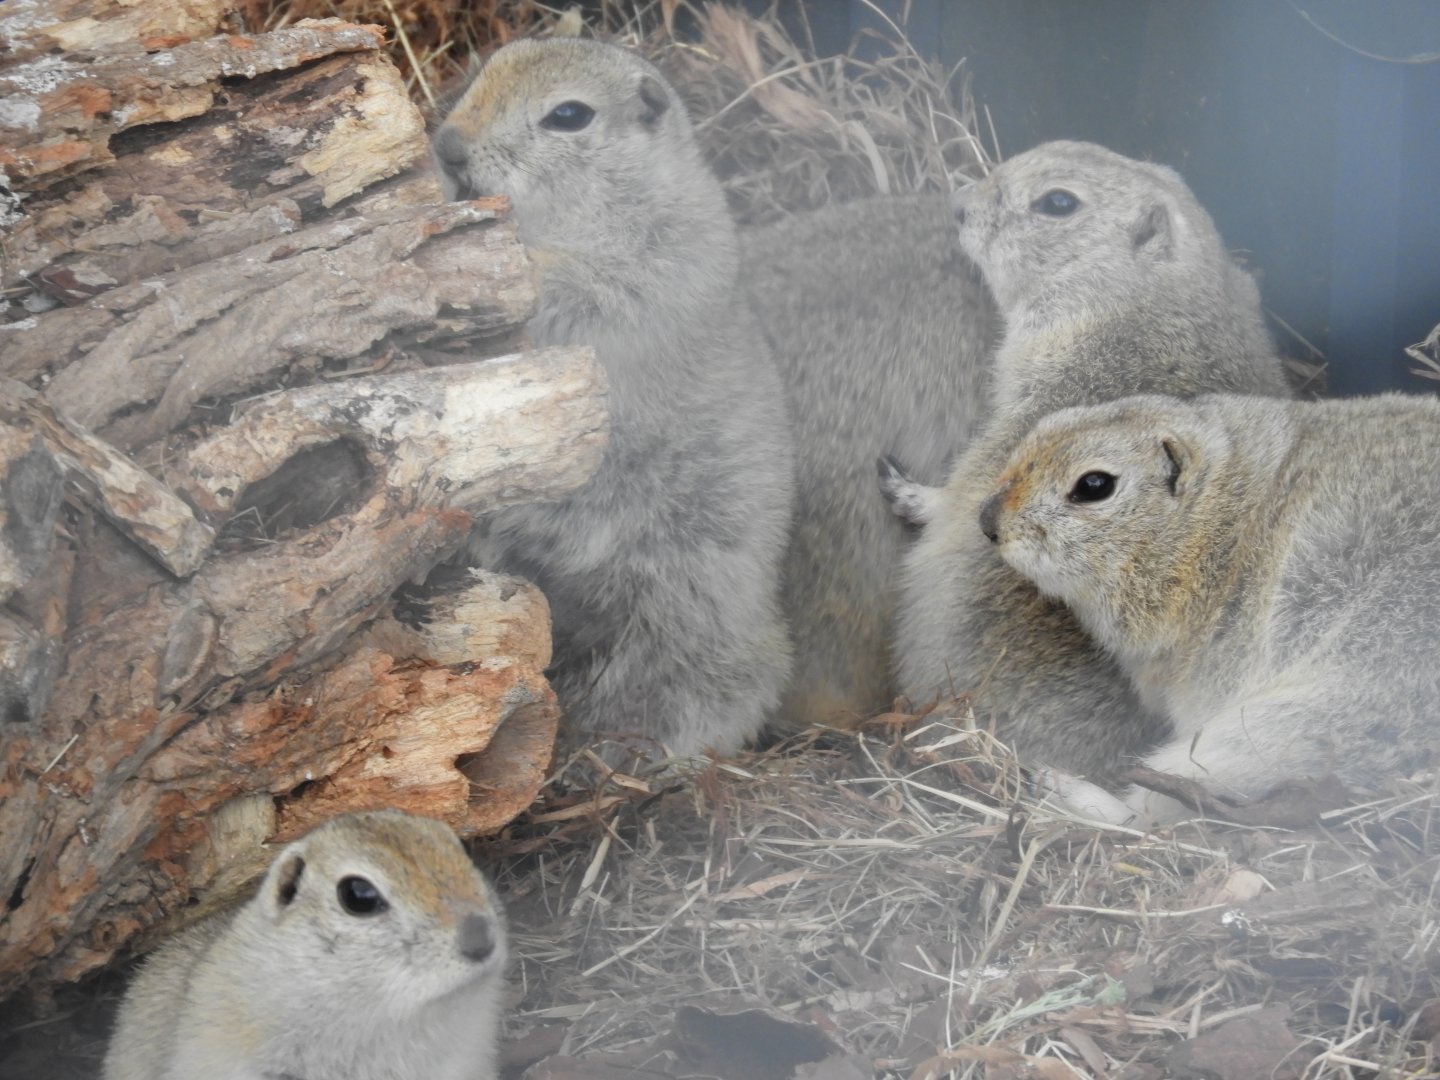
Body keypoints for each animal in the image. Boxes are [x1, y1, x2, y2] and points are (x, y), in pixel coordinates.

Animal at [432, 39, 794, 762]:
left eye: (570, 115)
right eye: (491, 64)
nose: (448, 147)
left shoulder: (652, 269)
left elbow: (582, 295)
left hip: (691, 590)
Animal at [887, 140, 1293, 783]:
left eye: (1058, 202)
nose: (958, 204)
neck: (1147, 300)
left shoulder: (1014, 427)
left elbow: (957, 494)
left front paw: (908, 492)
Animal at [983, 391, 1440, 825]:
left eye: (1094, 485)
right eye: (1045, 428)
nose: (988, 520)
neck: (1227, 527)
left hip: (1310, 722)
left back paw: (1062, 789)